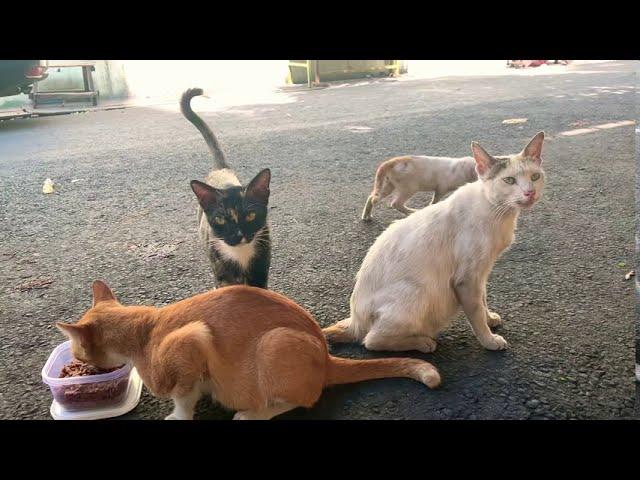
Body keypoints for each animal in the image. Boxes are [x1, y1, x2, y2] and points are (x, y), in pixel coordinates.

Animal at [56, 280, 440, 418]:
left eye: (78, 354)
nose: (76, 361)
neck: (144, 329)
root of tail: (326, 355)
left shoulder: (192, 340)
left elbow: (183, 398)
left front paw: (178, 416)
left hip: (275, 345)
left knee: (301, 400)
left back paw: (252, 414)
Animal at [181, 87, 272, 286]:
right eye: (221, 219)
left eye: (251, 215)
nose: (238, 235)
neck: (240, 255)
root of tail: (221, 168)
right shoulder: (221, 274)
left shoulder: (261, 269)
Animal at [324, 131, 544, 352]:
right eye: (509, 180)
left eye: (535, 177)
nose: (530, 192)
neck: (499, 212)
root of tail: (354, 319)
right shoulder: (467, 279)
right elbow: (476, 314)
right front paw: (489, 340)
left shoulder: (481, 273)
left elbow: (483, 300)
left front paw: (490, 319)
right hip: (418, 291)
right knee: (371, 340)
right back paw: (423, 342)